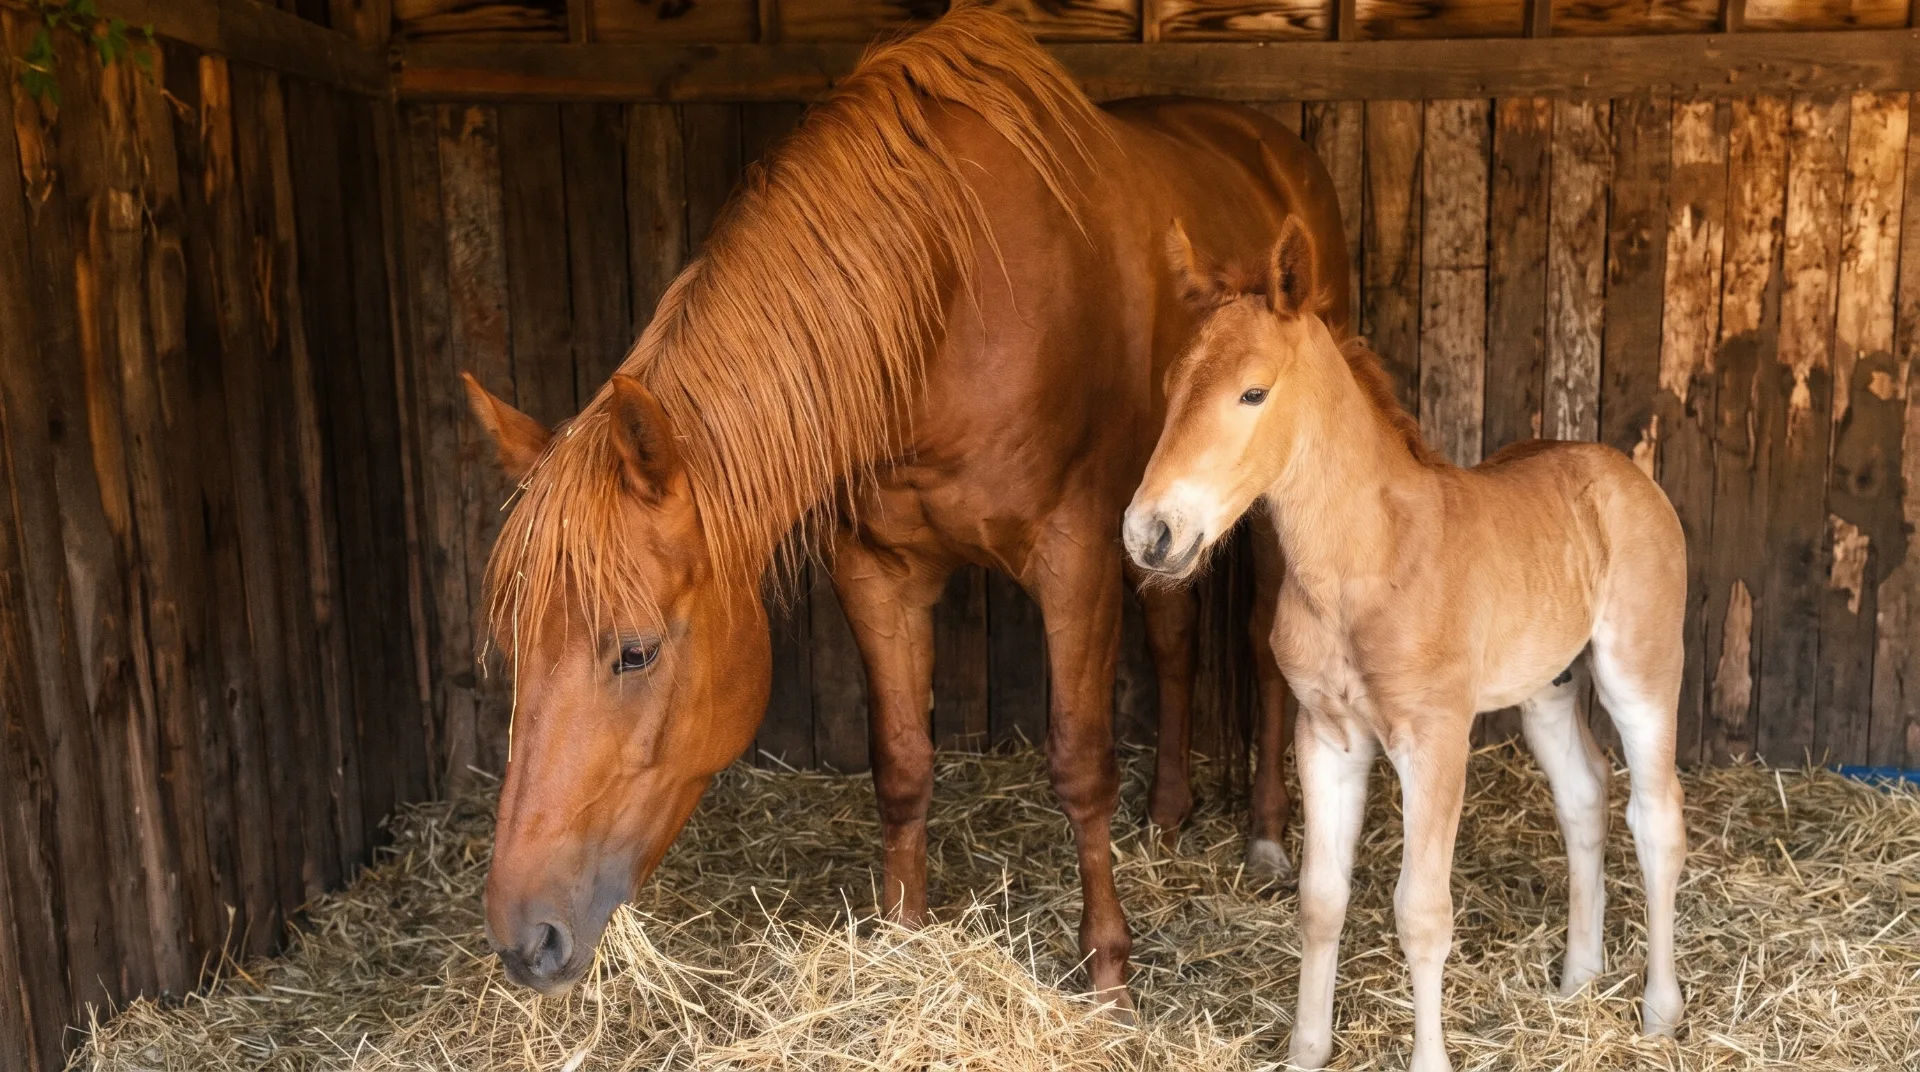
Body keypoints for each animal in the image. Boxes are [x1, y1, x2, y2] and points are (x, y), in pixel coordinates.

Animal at [460, 6, 1349, 1010]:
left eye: (635, 652)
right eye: (514, 648)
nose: (524, 938)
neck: (947, 297)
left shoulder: (1074, 558)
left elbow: (1080, 765)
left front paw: (1108, 972)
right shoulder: (877, 571)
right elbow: (901, 763)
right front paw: (901, 933)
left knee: (1264, 648)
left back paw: (1267, 835)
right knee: (1174, 636)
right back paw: (1166, 817)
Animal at [1121, 218, 1687, 1070]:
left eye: (1254, 392)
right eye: (1169, 387)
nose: (1149, 534)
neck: (1364, 564)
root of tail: (1622, 469)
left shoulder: (1436, 737)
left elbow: (1421, 913)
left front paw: (1427, 1059)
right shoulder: (1326, 735)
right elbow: (1321, 900)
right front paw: (1306, 1050)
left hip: (1639, 676)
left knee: (1655, 817)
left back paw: (1659, 1011)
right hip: (1547, 686)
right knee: (1583, 794)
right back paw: (1577, 981)